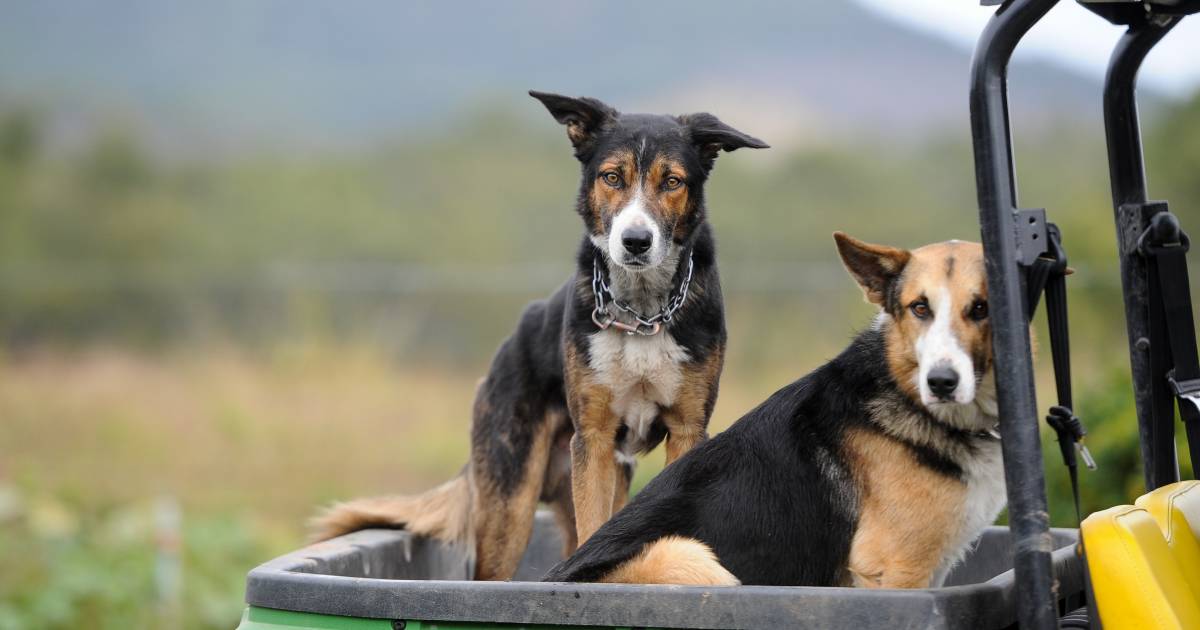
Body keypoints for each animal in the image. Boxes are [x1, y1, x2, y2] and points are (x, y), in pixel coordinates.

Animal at [309, 90, 768, 578]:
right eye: (612, 177)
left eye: (673, 182)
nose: (636, 241)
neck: (641, 315)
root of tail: (506, 350)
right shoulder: (594, 439)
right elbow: (593, 527)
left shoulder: (686, 432)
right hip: (510, 504)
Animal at [549, 231, 1008, 590]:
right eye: (920, 308)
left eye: (981, 308)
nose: (942, 383)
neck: (902, 384)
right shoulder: (895, 570)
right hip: (692, 559)